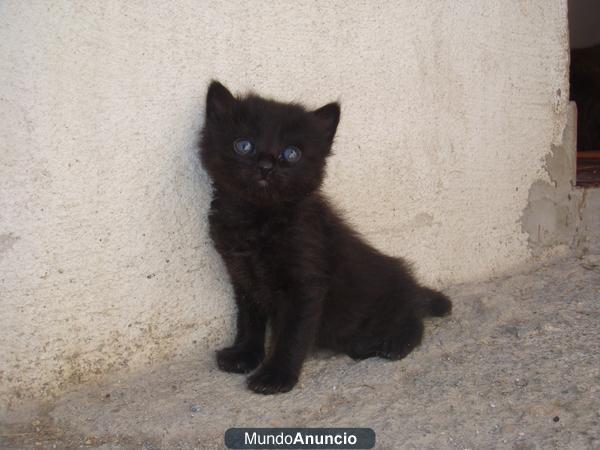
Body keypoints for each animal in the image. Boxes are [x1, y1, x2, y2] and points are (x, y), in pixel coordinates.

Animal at [199, 81, 452, 394]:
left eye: (291, 153)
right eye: (244, 145)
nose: (266, 166)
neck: (259, 218)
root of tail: (412, 286)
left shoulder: (306, 282)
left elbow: (292, 334)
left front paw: (276, 376)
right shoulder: (243, 276)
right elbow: (249, 320)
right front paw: (244, 354)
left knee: (414, 321)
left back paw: (394, 343)